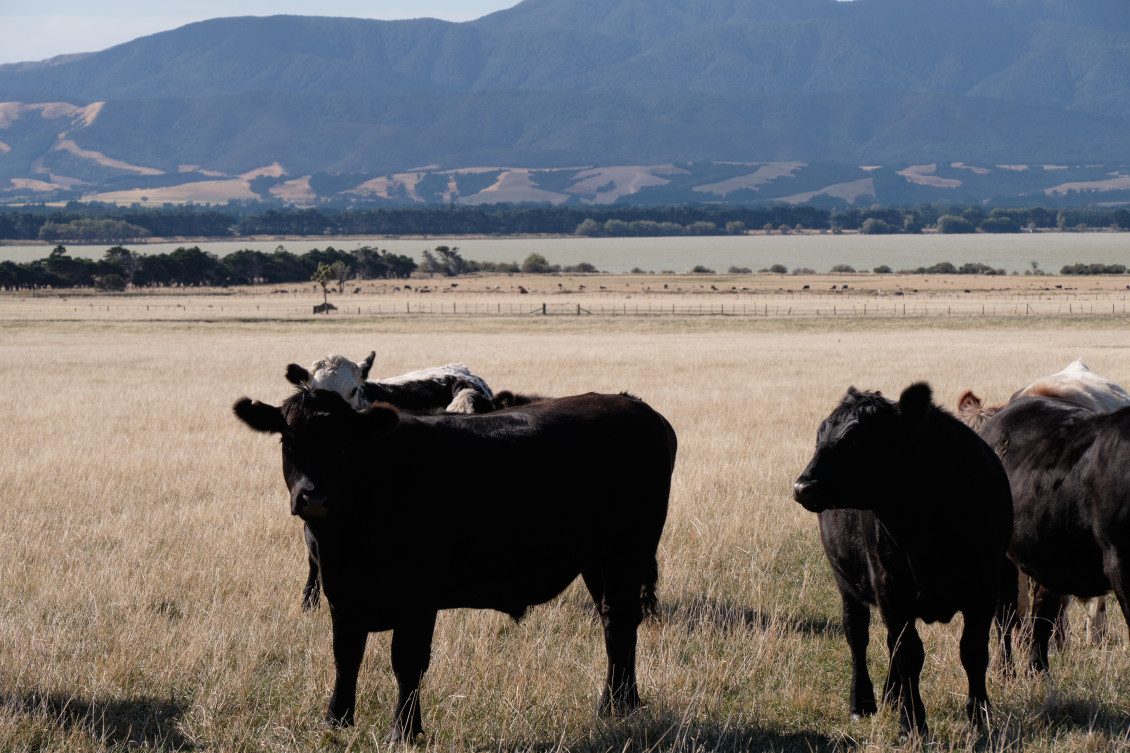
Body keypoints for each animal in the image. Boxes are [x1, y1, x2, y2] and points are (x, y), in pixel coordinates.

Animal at [228, 384, 668, 737]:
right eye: (287, 440)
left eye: (344, 444)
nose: (313, 497)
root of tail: (634, 403)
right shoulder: (341, 594)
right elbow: (345, 656)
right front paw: (335, 720)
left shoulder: (418, 598)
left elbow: (406, 663)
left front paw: (404, 731)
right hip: (598, 562)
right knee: (615, 624)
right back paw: (623, 704)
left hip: (629, 552)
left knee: (620, 621)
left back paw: (612, 704)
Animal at [795, 384, 1017, 737]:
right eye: (820, 435)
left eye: (855, 438)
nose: (803, 486)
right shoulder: (890, 586)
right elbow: (909, 654)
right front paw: (912, 724)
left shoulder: (984, 586)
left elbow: (973, 651)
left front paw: (979, 716)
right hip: (847, 582)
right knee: (857, 635)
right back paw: (863, 703)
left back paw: (891, 695)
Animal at [980, 397, 1130, 669]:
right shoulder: (1119, 559)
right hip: (1001, 556)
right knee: (1005, 614)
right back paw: (1006, 671)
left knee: (1043, 612)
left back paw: (1038, 670)